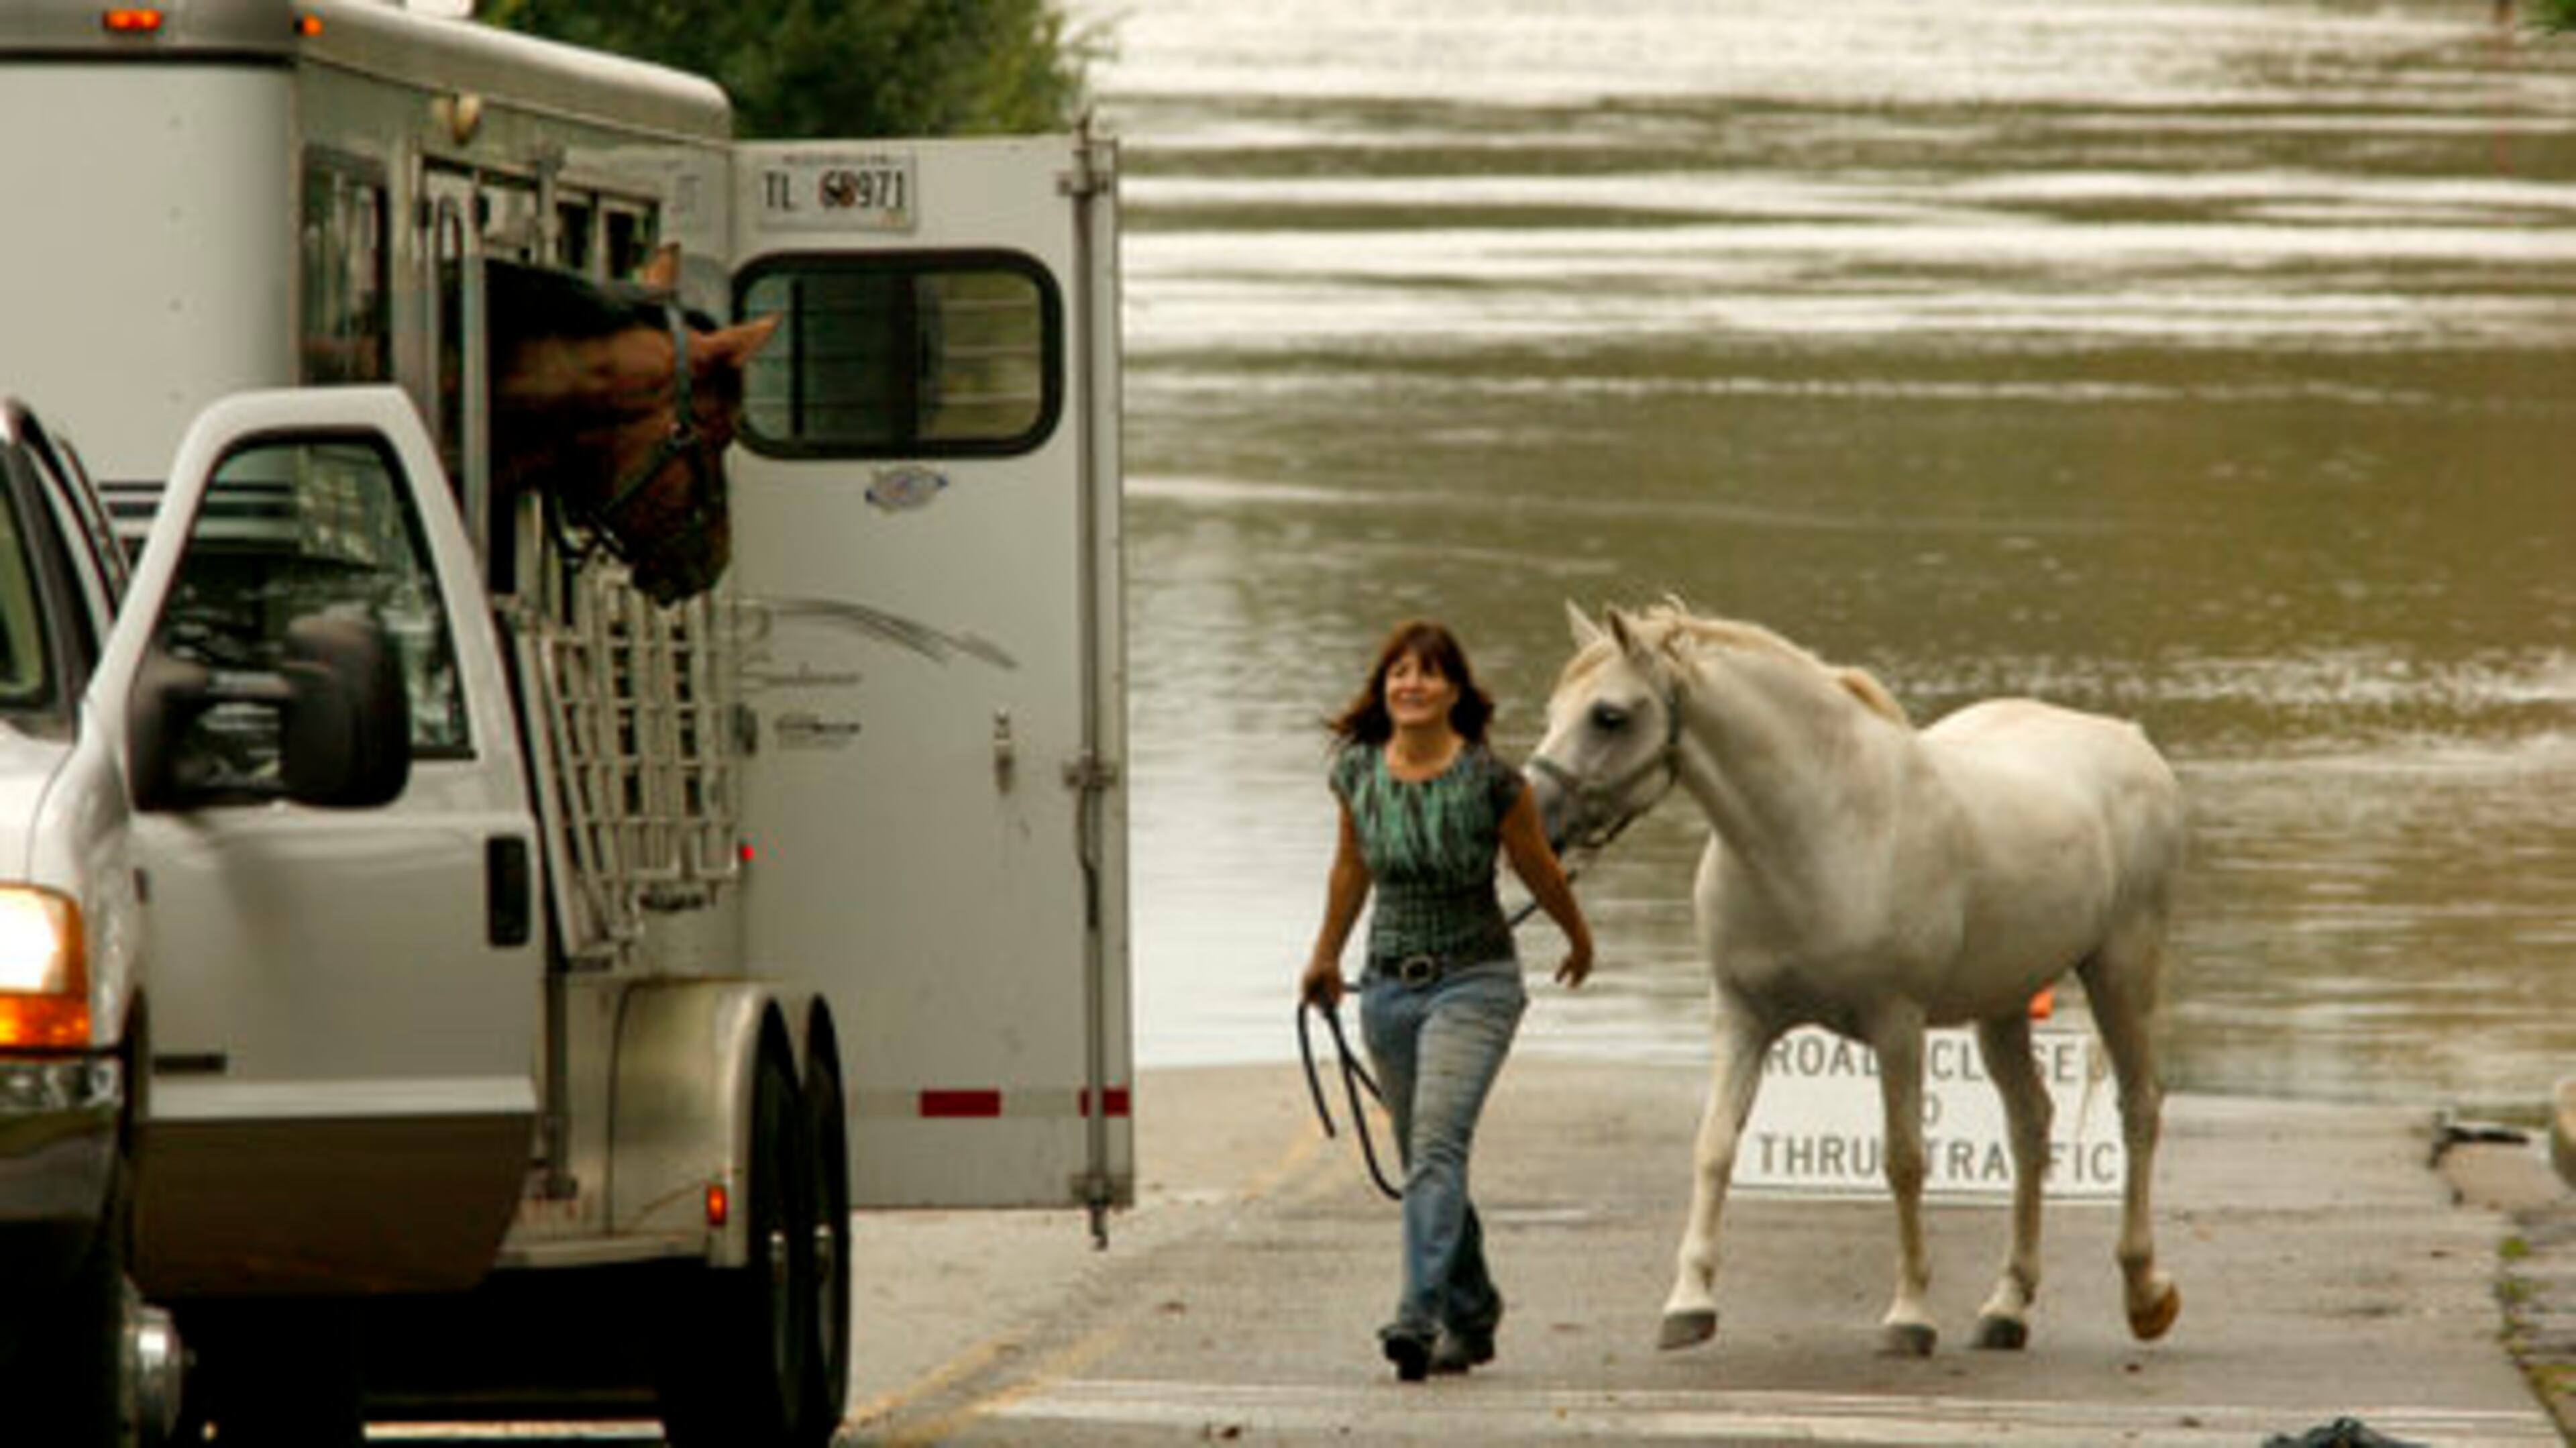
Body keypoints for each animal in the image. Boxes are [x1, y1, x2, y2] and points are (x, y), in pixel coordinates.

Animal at [1526, 601, 2184, 1359]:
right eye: (1554, 709)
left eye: (1608, 715)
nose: (1533, 818)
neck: (1820, 831)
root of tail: (2130, 742)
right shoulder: (1742, 1018)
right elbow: (1714, 1147)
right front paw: (1688, 1304)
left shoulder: (1897, 1023)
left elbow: (1903, 1162)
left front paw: (1910, 1316)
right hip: (2003, 1005)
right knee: (2030, 1125)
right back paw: (2007, 1307)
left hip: (2121, 972)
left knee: (2139, 1108)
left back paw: (2145, 1294)